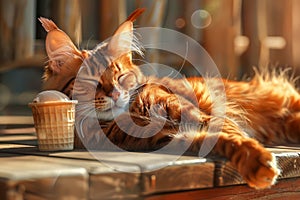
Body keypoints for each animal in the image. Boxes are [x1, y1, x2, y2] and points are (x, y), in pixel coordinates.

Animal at [38, 8, 300, 189]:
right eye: (90, 82)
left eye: (120, 76)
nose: (115, 94)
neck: (134, 114)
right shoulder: (172, 138)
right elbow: (223, 140)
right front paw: (257, 164)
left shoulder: (196, 115)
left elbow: (235, 138)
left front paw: (259, 162)